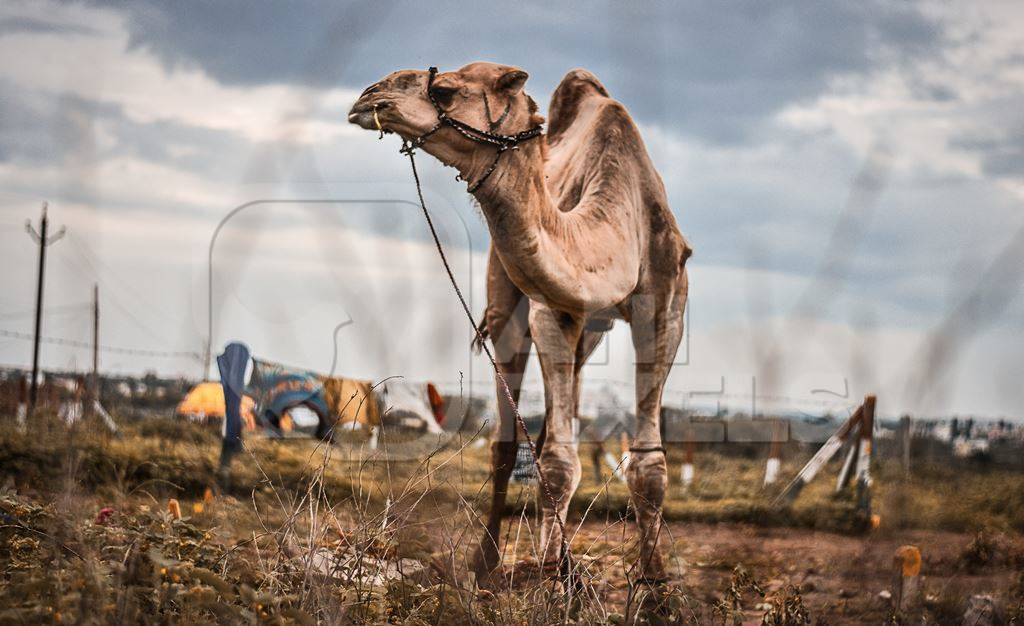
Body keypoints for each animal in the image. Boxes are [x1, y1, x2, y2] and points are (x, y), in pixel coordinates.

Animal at [348, 63, 692, 594]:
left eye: (445, 89)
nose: (369, 97)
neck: (619, 222)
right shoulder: (550, 312)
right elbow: (557, 461)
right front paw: (549, 579)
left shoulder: (666, 309)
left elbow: (649, 463)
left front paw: (654, 582)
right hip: (506, 305)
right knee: (508, 444)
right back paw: (489, 561)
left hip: (590, 330)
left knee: (553, 420)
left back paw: (564, 561)